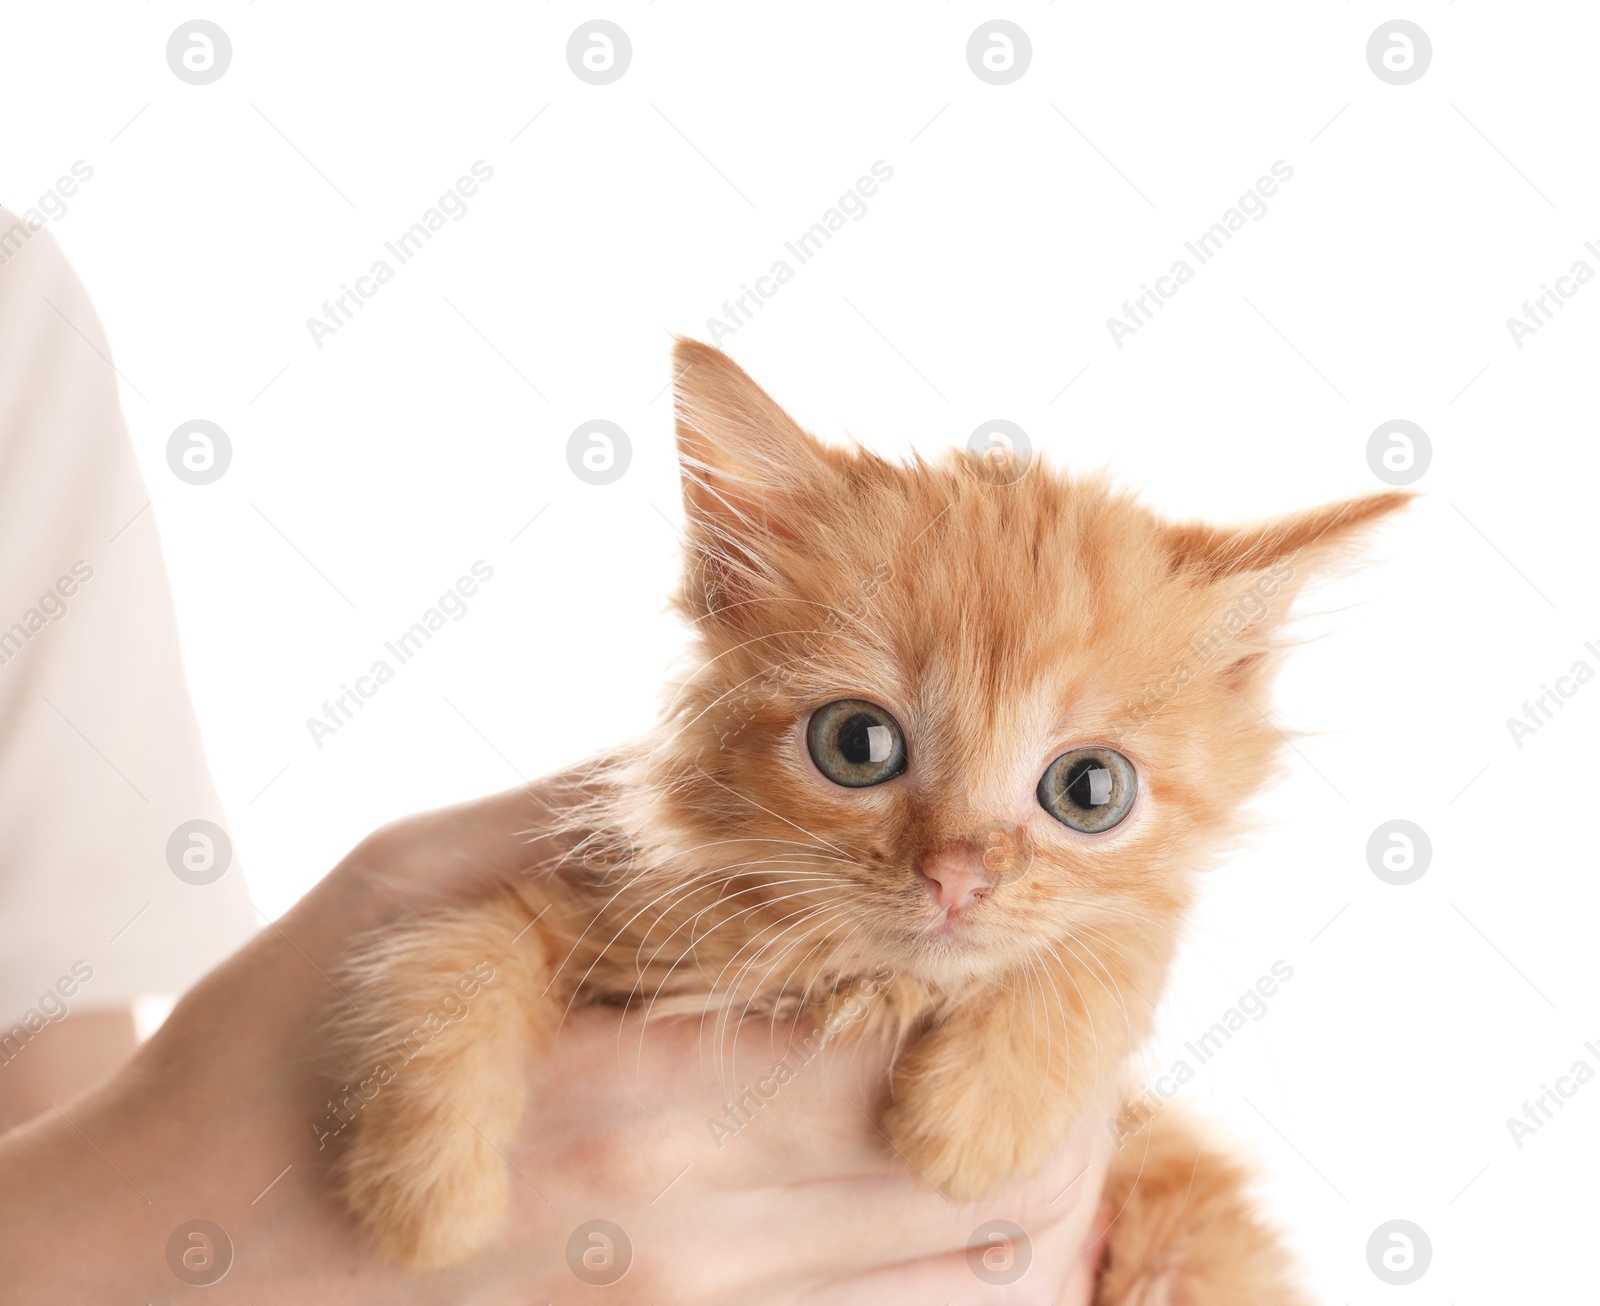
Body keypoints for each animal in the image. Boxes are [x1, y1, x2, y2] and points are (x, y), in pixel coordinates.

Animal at [334, 342, 1401, 1299]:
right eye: (858, 744)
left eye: (1091, 788)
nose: (955, 875)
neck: (865, 983)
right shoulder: (599, 908)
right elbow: (455, 952)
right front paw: (426, 1200)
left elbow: (1118, 940)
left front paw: (979, 1117)